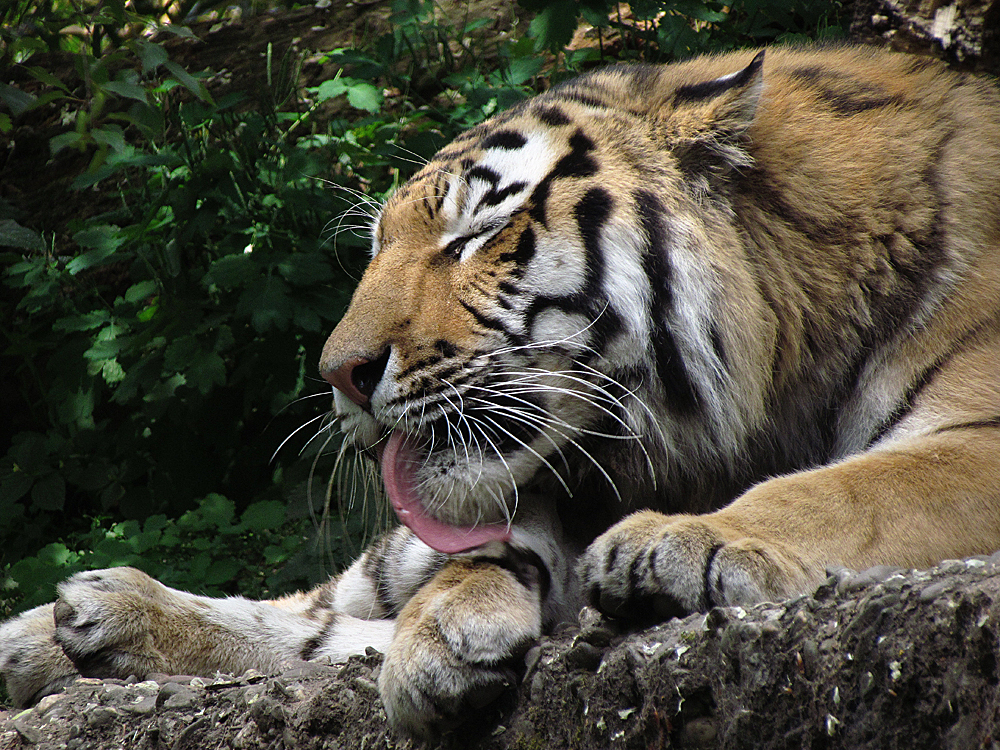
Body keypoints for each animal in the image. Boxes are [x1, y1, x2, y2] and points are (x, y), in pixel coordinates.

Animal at [1, 42, 1000, 740]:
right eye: (380, 245)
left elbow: (848, 488)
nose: (337, 376)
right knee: (322, 609)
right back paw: (72, 620)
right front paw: (457, 626)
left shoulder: (977, 436)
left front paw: (683, 542)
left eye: (478, 231)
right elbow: (479, 560)